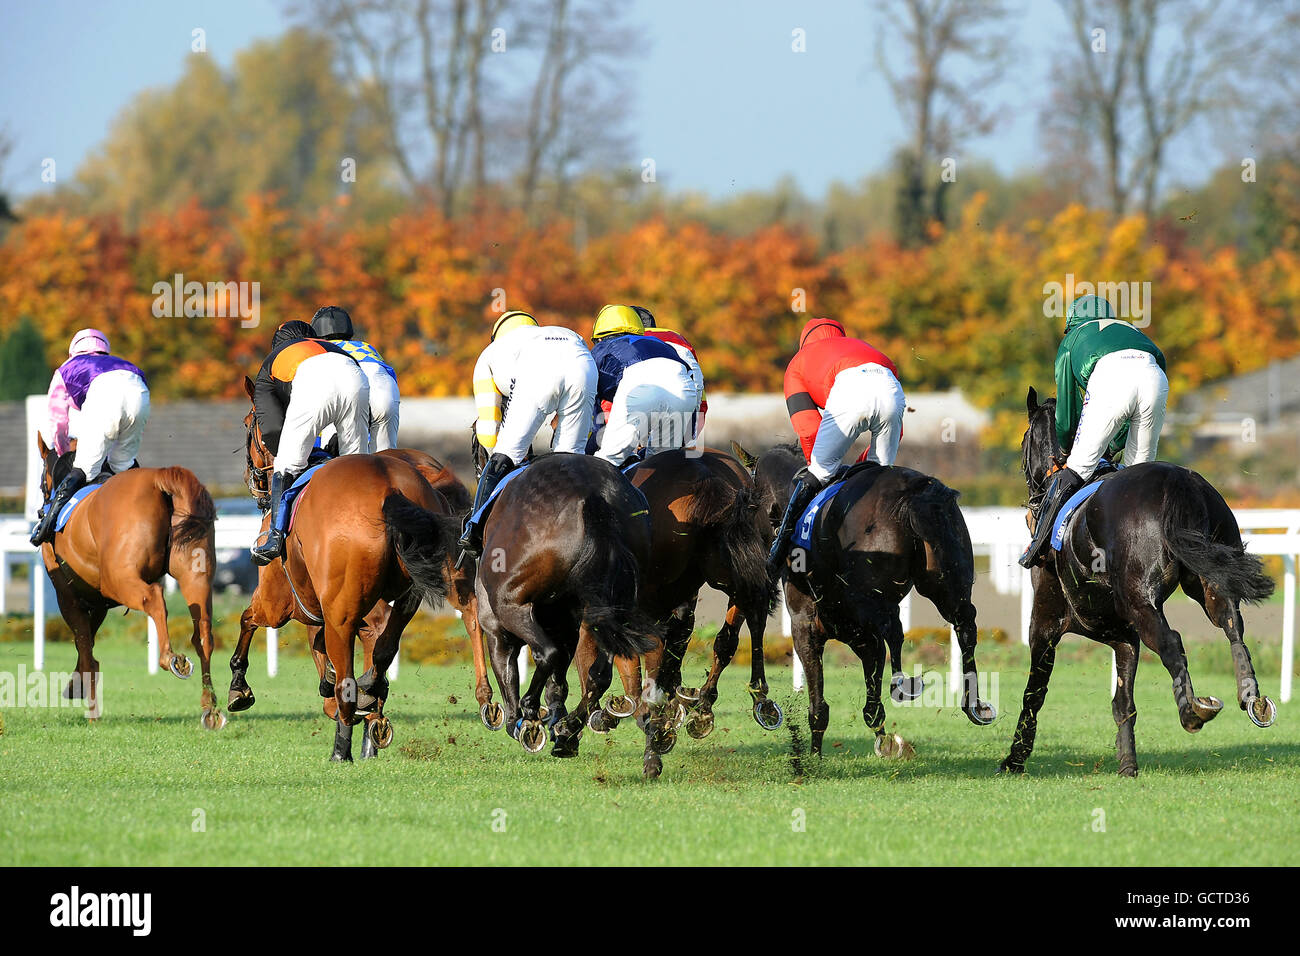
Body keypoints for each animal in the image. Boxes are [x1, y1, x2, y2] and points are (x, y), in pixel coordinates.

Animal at [32, 437, 222, 728]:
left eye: (43, 481)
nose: (42, 510)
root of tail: (160, 478)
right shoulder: (97, 601)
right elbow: (86, 642)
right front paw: (76, 686)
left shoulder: (68, 596)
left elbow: (85, 647)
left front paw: (90, 708)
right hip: (195, 575)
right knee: (203, 633)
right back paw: (210, 706)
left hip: (118, 579)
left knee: (154, 597)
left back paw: (169, 658)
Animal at [241, 400, 460, 759]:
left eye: (249, 425)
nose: (253, 481)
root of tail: (389, 487)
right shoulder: (319, 609)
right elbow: (322, 649)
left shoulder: (278, 603)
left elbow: (249, 621)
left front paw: (239, 688)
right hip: (405, 591)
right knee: (385, 642)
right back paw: (372, 703)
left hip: (343, 611)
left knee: (350, 673)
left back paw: (343, 744)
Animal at [470, 452, 660, 759]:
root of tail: (593, 496)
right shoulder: (567, 625)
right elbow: (559, 681)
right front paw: (558, 722)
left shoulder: (497, 629)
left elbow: (510, 673)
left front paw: (519, 722)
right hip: (610, 607)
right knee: (598, 674)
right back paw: (569, 729)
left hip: (511, 605)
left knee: (547, 653)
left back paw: (531, 712)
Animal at [733, 442, 993, 764]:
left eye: (748, 502)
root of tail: (916, 493)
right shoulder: (855, 631)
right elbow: (875, 686)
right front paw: (885, 736)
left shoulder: (806, 625)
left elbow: (820, 704)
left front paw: (815, 757)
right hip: (946, 581)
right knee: (963, 624)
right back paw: (973, 703)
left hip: (874, 599)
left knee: (892, 631)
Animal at [1003, 390, 1279, 780]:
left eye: (1023, 440)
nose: (1032, 504)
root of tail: (1179, 481)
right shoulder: (1124, 637)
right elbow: (1123, 702)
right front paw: (1128, 765)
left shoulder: (1044, 621)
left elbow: (1034, 694)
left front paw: (1015, 758)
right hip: (1211, 580)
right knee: (1232, 626)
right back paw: (1250, 694)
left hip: (1141, 601)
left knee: (1172, 642)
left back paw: (1193, 710)